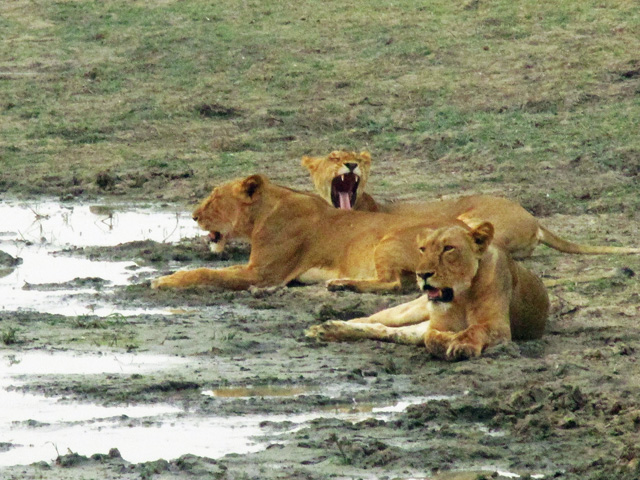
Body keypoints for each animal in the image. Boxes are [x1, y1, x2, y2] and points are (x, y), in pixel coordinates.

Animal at [153, 173, 468, 290]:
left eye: (215, 198)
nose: (193, 216)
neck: (262, 215)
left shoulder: (264, 275)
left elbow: (206, 273)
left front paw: (166, 280)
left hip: (387, 241)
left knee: (394, 283)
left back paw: (341, 283)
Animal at [304, 221, 552, 360]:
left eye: (448, 248)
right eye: (422, 249)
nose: (422, 274)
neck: (461, 296)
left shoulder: (499, 327)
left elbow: (474, 330)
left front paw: (461, 344)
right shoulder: (436, 326)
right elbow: (433, 340)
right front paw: (452, 340)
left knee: (389, 331)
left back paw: (328, 330)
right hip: (407, 311)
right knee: (370, 320)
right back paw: (325, 328)